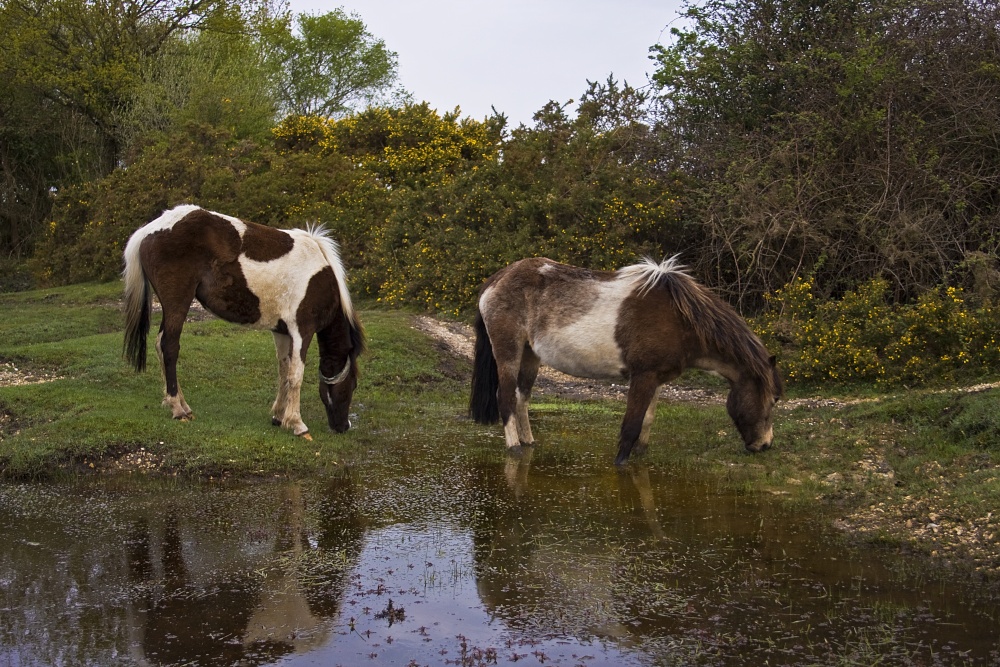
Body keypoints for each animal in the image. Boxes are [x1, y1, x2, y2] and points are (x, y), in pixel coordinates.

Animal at [121, 206, 364, 440]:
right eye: (351, 386)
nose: (343, 427)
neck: (320, 277)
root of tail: (149, 230)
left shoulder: (282, 331)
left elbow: (284, 371)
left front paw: (279, 416)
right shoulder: (301, 330)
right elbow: (296, 375)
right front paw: (297, 424)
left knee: (160, 345)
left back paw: (182, 405)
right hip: (177, 303)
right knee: (169, 346)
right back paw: (177, 408)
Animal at [472, 256, 784, 464]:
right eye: (772, 401)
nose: (766, 444)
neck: (681, 320)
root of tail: (497, 279)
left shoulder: (657, 377)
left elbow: (647, 420)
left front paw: (640, 454)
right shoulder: (642, 376)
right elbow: (631, 425)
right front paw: (621, 462)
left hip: (530, 355)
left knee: (522, 397)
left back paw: (528, 442)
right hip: (509, 352)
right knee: (506, 399)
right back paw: (514, 448)